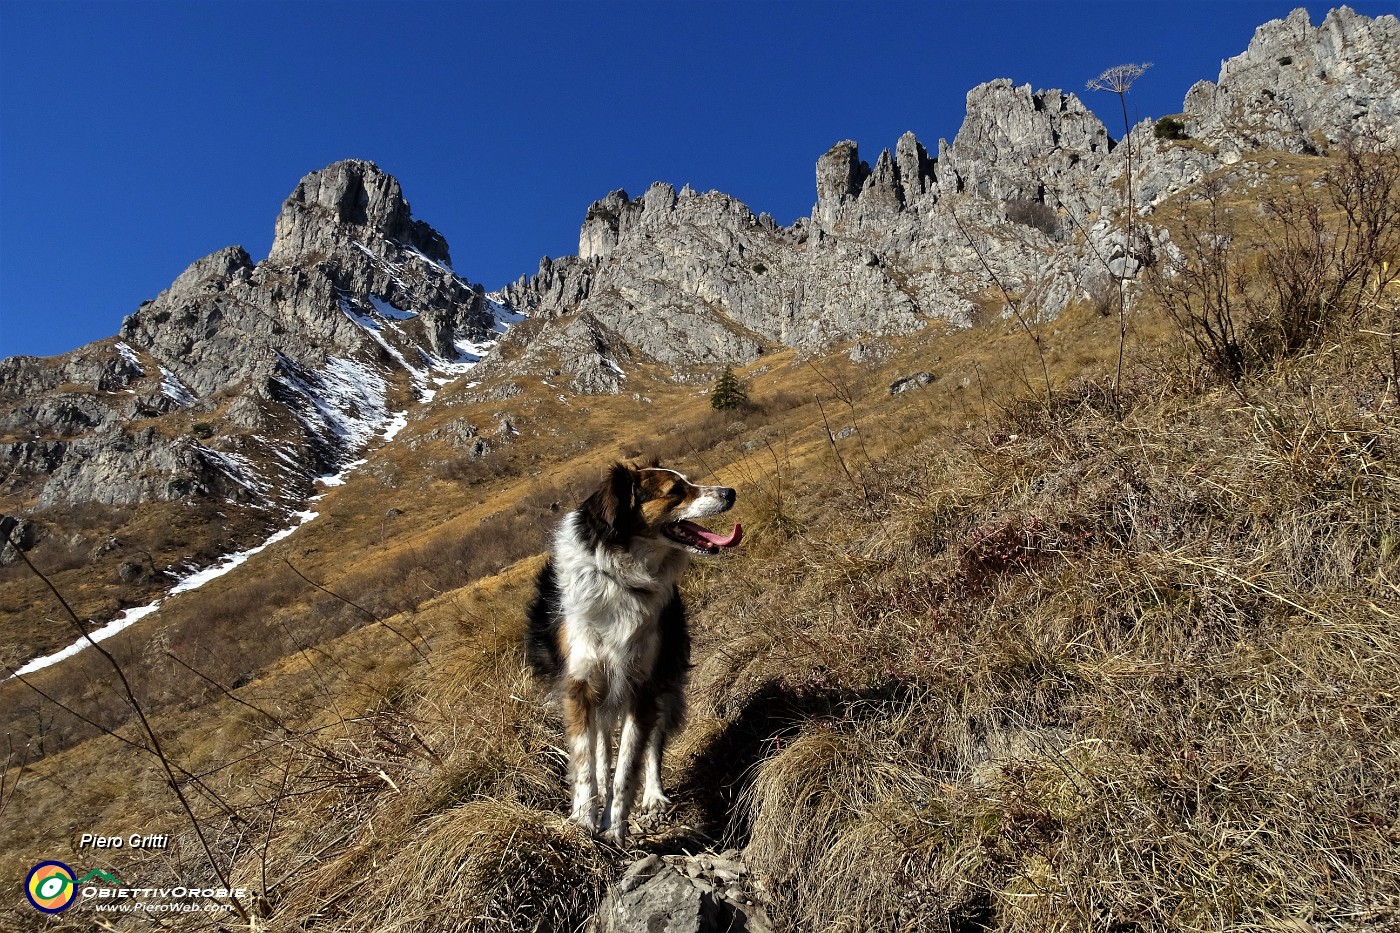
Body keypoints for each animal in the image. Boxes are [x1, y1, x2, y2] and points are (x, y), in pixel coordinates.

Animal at [526, 462, 744, 840]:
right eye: (675, 490)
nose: (729, 492)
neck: (621, 577)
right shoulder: (580, 683)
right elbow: (585, 759)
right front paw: (583, 818)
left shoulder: (642, 683)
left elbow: (629, 762)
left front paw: (614, 827)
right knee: (600, 743)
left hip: (666, 680)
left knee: (653, 744)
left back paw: (653, 795)